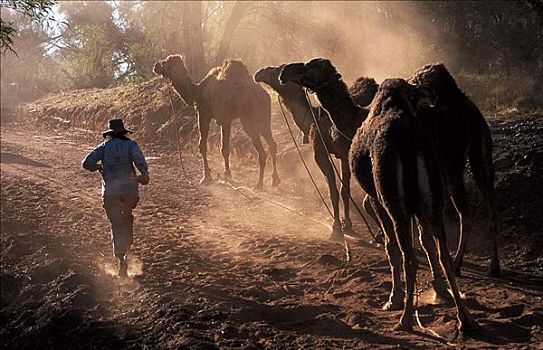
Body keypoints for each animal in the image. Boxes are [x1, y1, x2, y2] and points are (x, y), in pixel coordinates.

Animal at [153, 54, 280, 189]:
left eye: (165, 62)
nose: (156, 66)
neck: (196, 92)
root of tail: (264, 95)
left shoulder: (203, 114)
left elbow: (202, 146)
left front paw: (206, 177)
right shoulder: (225, 120)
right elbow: (225, 148)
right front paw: (227, 175)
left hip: (248, 119)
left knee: (262, 151)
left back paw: (259, 184)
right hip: (265, 118)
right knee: (272, 144)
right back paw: (275, 179)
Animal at [255, 65, 378, 241]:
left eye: (275, 70)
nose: (259, 73)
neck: (312, 121)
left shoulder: (320, 152)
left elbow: (333, 190)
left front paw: (336, 228)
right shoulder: (343, 156)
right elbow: (344, 189)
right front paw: (346, 224)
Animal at [280, 59, 460, 318]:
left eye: (310, 66)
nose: (285, 72)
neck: (356, 118)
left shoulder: (376, 192)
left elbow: (391, 239)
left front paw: (396, 295)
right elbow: (422, 239)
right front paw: (437, 288)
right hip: (432, 185)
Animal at [408, 62, 502, 276]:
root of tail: (473, 118)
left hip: (452, 164)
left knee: (465, 214)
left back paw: (456, 265)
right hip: (481, 161)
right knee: (492, 211)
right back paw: (494, 267)